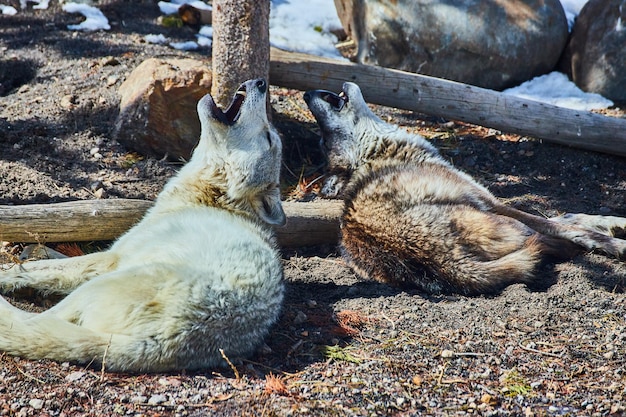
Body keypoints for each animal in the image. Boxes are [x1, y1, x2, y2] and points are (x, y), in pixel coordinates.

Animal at [0, 77, 286, 370]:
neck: (208, 199)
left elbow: (40, 269)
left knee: (35, 321)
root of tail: (160, 345)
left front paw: (9, 274)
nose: (261, 83)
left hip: (102, 282)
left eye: (268, 138)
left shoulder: (110, 258)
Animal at [304, 81, 624, 294]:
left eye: (322, 138)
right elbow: (571, 226)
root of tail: (444, 264)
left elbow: (572, 216)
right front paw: (614, 241)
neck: (382, 151)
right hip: (506, 223)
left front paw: (614, 222)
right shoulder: (494, 203)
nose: (307, 94)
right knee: (545, 242)